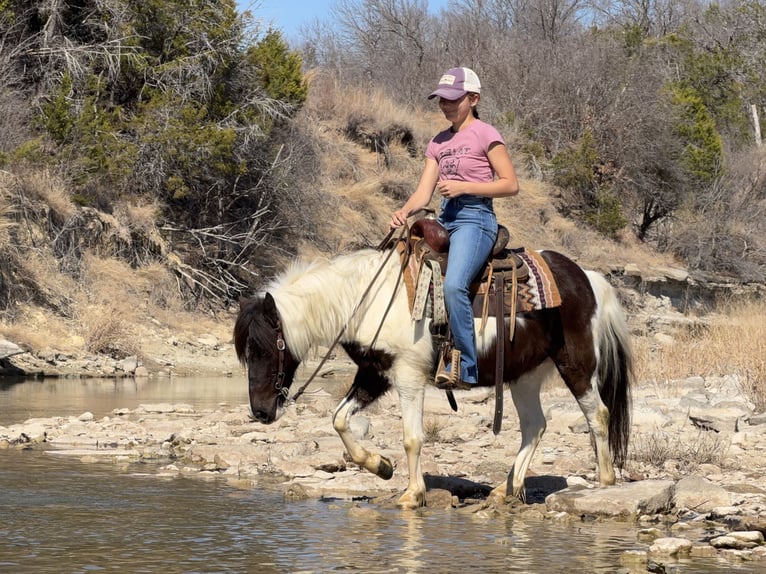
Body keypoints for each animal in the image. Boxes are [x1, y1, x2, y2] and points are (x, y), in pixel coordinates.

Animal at [234, 245, 633, 509]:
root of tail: (588, 278)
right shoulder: (375, 373)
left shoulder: (408, 375)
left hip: (576, 363)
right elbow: (339, 419)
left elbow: (412, 437)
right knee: (535, 426)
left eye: (264, 349)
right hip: (524, 376)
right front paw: (381, 466)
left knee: (597, 415)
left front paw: (412, 494)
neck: (367, 299)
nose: (261, 412)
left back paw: (605, 484)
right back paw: (505, 490)